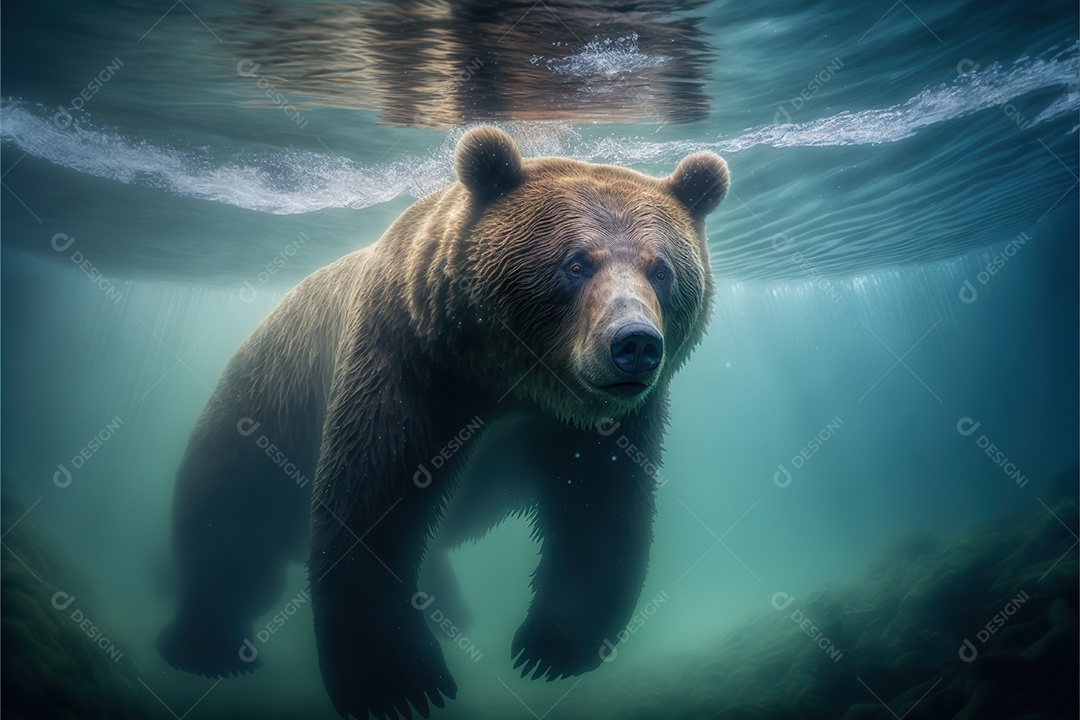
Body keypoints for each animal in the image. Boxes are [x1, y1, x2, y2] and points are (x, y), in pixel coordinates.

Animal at [158, 126, 729, 719]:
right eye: (576, 264)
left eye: (661, 270)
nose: (635, 344)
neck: (511, 378)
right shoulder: (408, 367)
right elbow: (370, 500)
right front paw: (395, 680)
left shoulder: (599, 423)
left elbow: (599, 508)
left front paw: (551, 647)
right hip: (259, 414)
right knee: (226, 524)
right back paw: (210, 646)